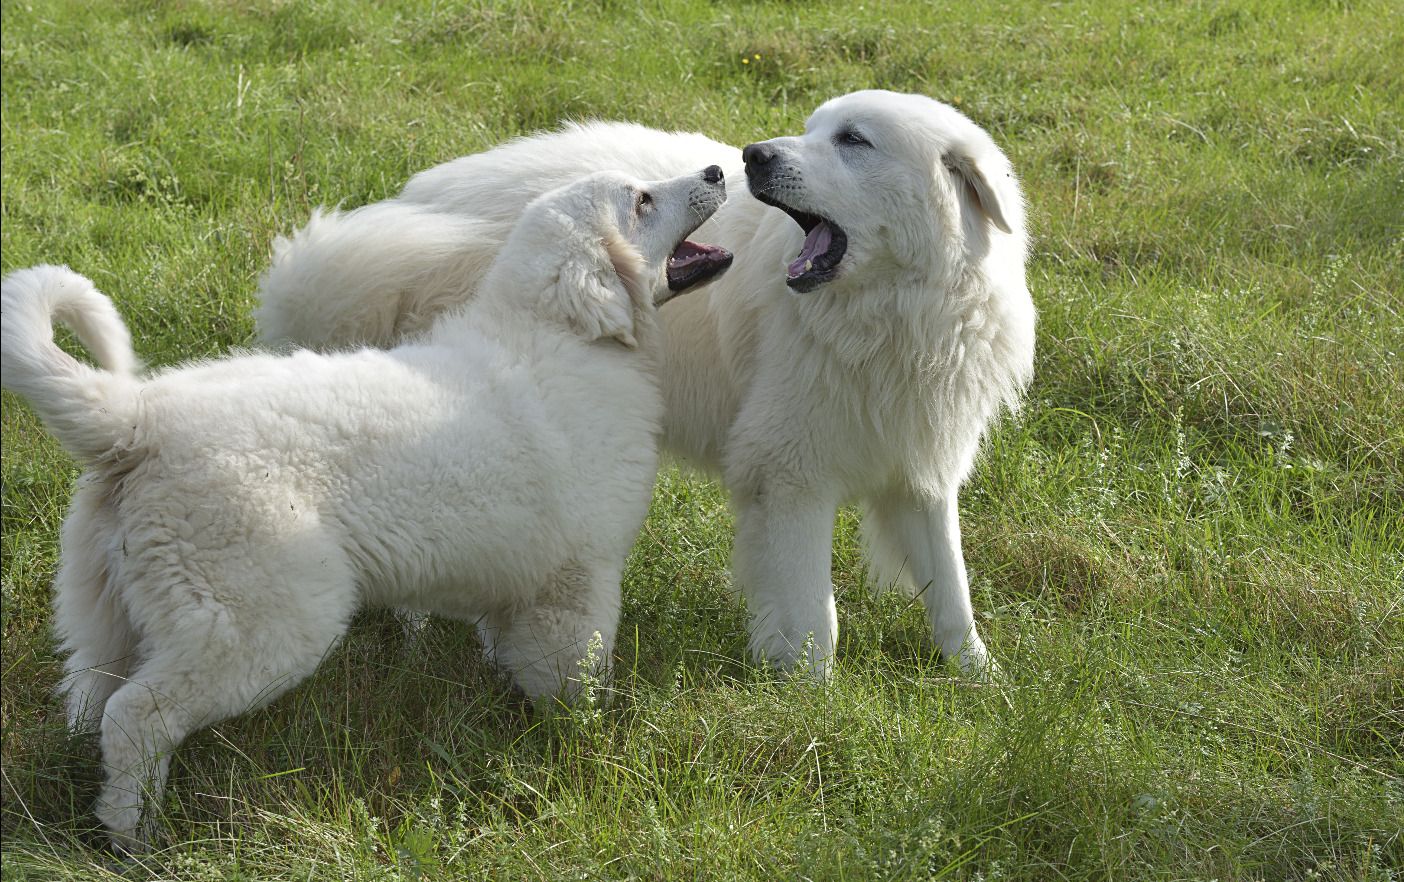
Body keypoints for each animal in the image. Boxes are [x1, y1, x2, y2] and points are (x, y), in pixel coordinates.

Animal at [2, 168, 735, 848]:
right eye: (641, 201)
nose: (716, 171)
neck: (563, 335)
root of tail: (137, 421)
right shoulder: (579, 578)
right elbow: (576, 674)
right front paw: (586, 745)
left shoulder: (522, 583)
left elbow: (518, 658)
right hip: (261, 620)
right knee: (136, 716)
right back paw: (135, 836)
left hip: (108, 609)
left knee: (90, 705)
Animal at [258, 89, 1038, 679]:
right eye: (815, 129)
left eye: (852, 140)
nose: (753, 155)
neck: (894, 314)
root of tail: (416, 201)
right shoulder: (791, 479)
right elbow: (816, 613)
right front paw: (809, 697)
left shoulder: (920, 470)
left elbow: (952, 590)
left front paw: (980, 680)